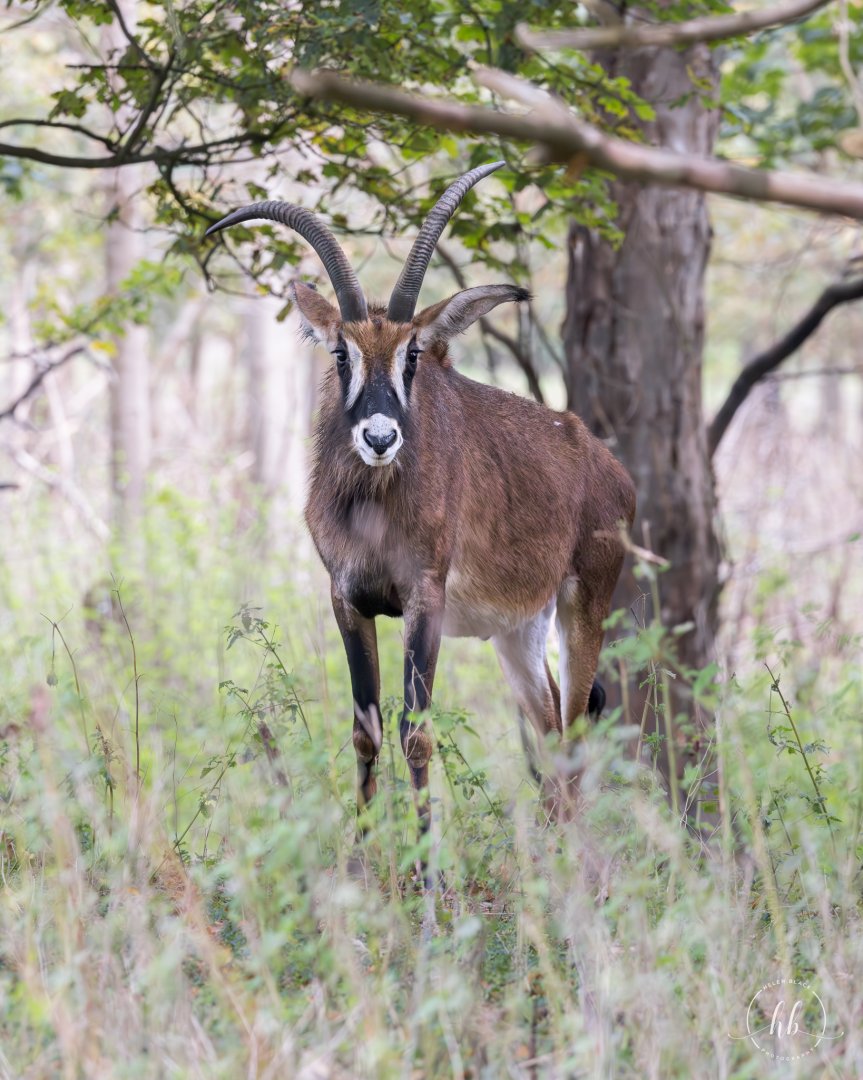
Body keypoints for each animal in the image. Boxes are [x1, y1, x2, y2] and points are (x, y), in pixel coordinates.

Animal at [206, 162, 635, 833]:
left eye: (412, 354)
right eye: (341, 351)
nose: (380, 437)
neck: (373, 510)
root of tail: (607, 465)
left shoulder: (423, 598)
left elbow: (416, 733)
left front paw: (423, 855)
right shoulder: (348, 599)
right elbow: (366, 731)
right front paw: (361, 845)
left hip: (582, 607)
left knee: (572, 738)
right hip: (520, 630)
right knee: (547, 732)